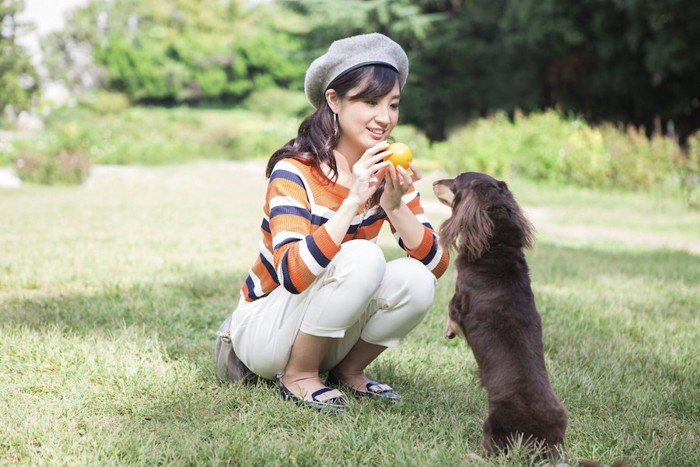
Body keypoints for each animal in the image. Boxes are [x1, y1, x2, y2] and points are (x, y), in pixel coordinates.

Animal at [432, 172, 568, 458]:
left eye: (457, 180)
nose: (434, 181)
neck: (496, 246)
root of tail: (547, 441)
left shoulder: (459, 299)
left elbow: (451, 312)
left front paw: (449, 331)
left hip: (495, 423)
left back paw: (472, 455)